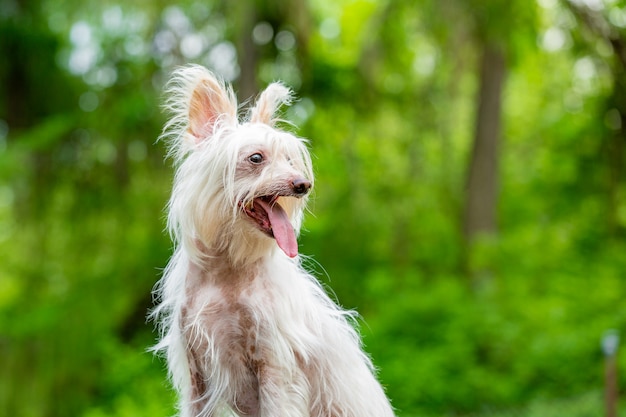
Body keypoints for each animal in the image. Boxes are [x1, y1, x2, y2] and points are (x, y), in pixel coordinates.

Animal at [151, 65, 392, 416]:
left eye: (291, 160)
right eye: (255, 158)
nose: (303, 185)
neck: (226, 273)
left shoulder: (275, 367)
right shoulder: (197, 379)